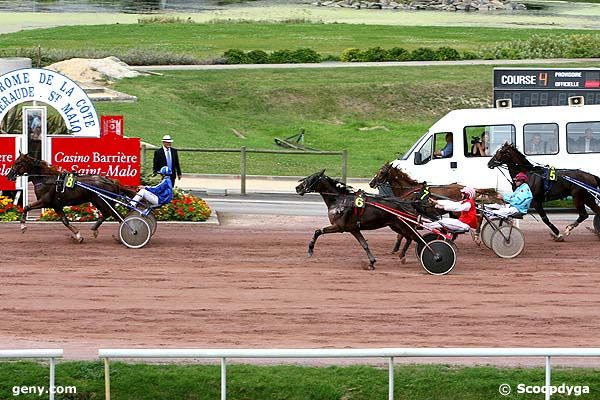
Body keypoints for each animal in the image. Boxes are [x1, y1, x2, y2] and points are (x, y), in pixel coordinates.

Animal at [6, 152, 135, 241]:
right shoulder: (56, 205)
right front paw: (78, 236)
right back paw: (96, 229)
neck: (46, 179)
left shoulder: (45, 201)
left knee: (116, 216)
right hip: (98, 201)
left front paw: (23, 227)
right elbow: (65, 221)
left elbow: (26, 207)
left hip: (102, 201)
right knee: (109, 214)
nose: (9, 175)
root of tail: (111, 181)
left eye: (17, 163)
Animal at [296, 169, 436, 268]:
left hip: (401, 224)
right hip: (395, 225)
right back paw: (403, 256)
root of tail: (402, 202)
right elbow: (364, 244)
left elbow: (318, 231)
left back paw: (434, 255)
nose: (298, 188)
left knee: (418, 238)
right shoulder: (353, 229)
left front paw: (310, 249)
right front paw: (372, 262)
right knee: (410, 238)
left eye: (312, 178)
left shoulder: (339, 226)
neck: (340, 200)